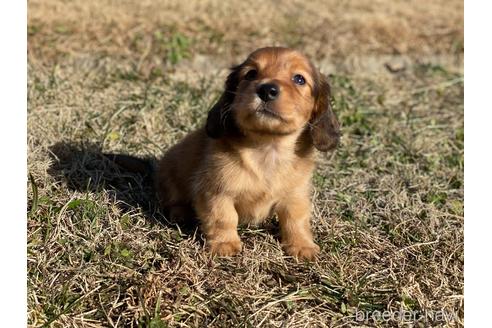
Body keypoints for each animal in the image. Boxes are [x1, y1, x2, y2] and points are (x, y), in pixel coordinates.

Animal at [156, 46, 340, 262]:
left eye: (299, 79)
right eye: (251, 74)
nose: (266, 90)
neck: (268, 148)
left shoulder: (296, 195)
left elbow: (297, 219)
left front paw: (302, 245)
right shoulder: (216, 192)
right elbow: (223, 218)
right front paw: (225, 244)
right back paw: (181, 213)